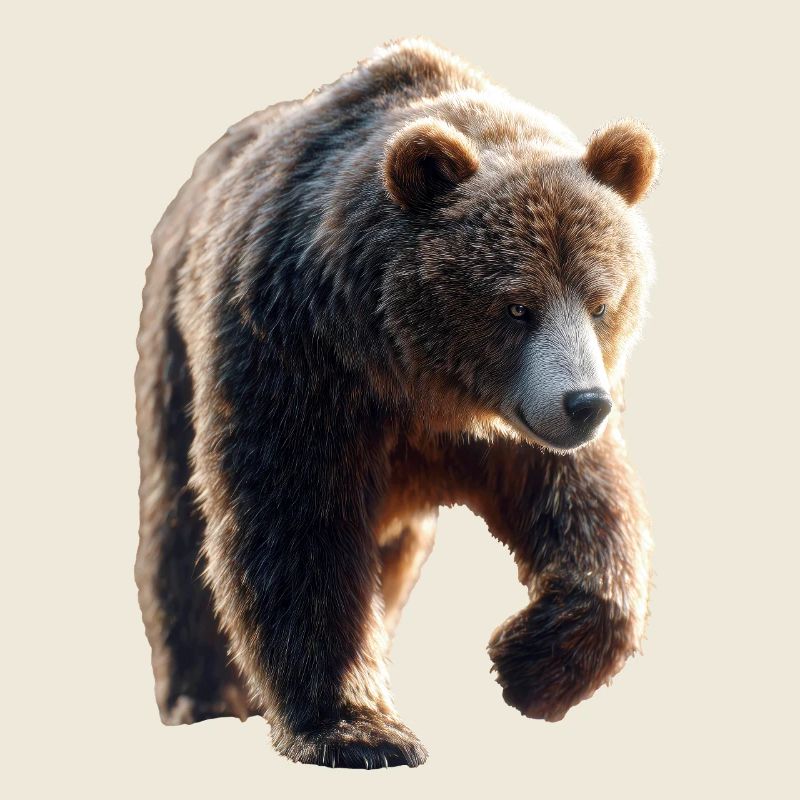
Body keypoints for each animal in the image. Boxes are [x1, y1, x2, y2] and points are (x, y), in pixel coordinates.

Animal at [135, 38, 659, 768]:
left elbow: (588, 513)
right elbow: (295, 528)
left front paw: (526, 664)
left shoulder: (516, 428)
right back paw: (204, 694)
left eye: (601, 302)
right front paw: (359, 728)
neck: (419, 378)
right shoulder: (293, 358)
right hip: (174, 355)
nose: (584, 404)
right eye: (517, 306)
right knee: (180, 531)